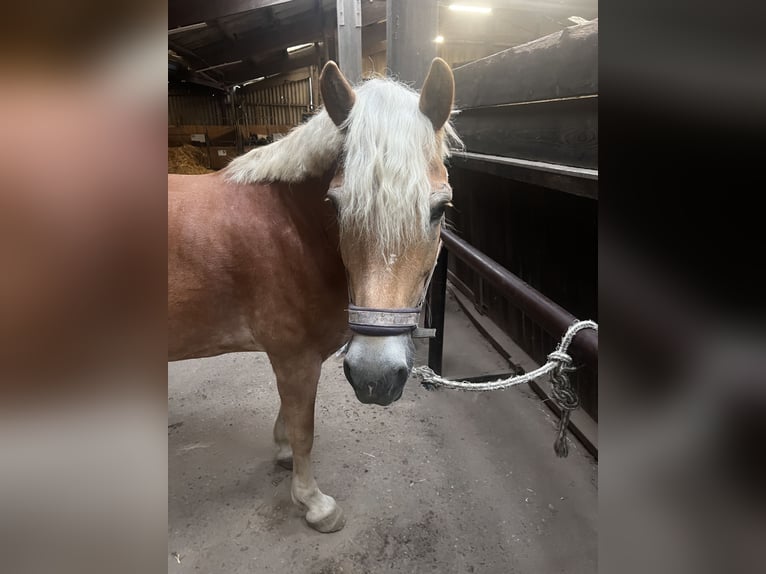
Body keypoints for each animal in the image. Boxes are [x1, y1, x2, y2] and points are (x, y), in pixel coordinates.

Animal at [168, 58, 459, 532]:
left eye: (440, 209)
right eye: (336, 205)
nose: (375, 378)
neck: (289, 228)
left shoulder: (296, 358)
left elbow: (290, 418)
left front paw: (284, 453)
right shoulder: (294, 356)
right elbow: (304, 426)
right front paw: (313, 503)